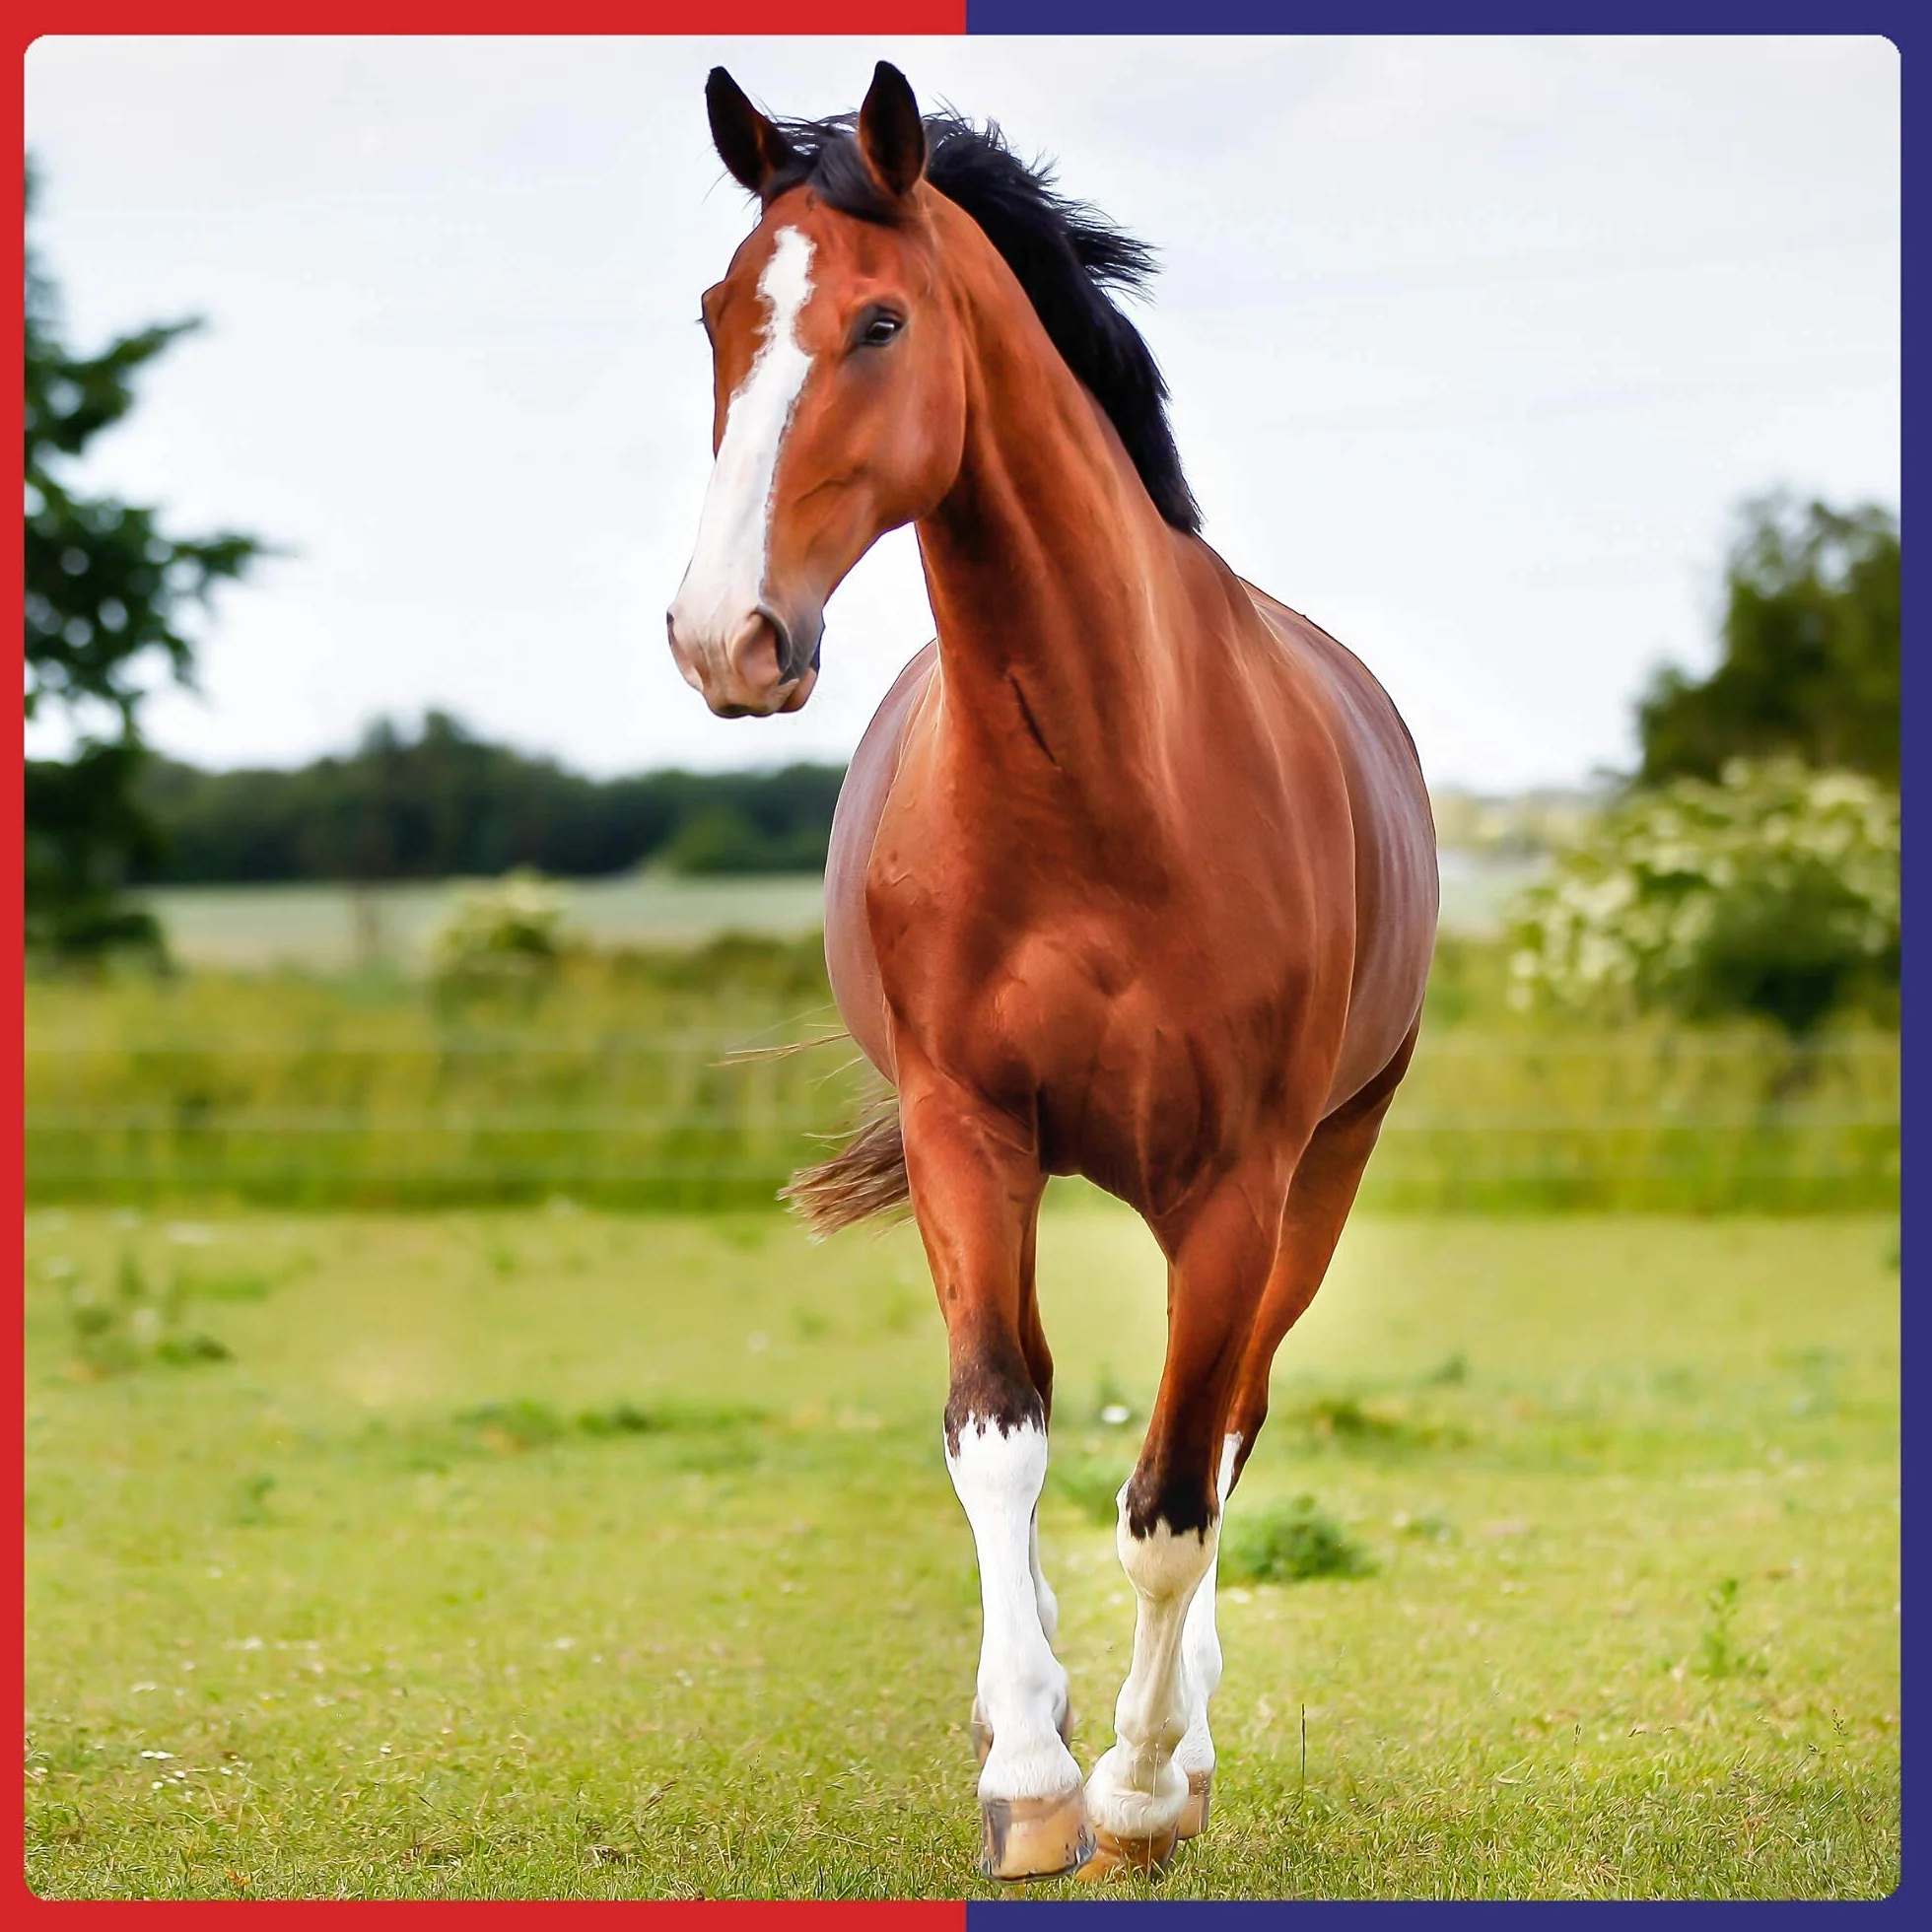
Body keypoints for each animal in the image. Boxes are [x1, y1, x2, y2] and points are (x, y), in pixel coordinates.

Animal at [668, 62, 1439, 1882]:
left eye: (879, 322)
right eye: (720, 316)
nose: (726, 635)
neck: (1096, 782)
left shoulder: (1239, 1182)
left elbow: (1171, 1501)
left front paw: (1142, 1791)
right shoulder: (969, 1133)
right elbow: (998, 1438)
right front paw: (1029, 1774)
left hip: (1315, 1182)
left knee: (1228, 1427)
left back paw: (1183, 1747)